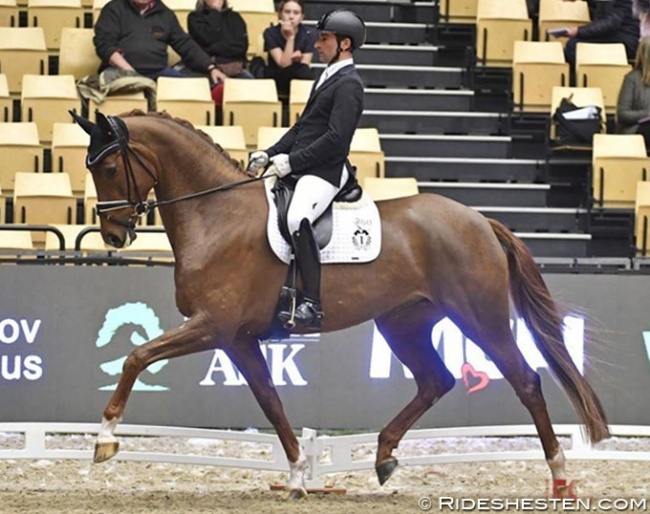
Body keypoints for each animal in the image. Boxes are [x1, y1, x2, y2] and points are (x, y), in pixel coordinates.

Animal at [72, 111, 608, 496]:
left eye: (110, 166)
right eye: (91, 167)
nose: (113, 235)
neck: (215, 214)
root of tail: (480, 220)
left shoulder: (212, 326)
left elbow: (137, 357)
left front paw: (105, 439)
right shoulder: (238, 339)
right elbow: (271, 401)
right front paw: (296, 473)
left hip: (480, 315)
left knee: (525, 379)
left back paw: (561, 478)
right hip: (402, 322)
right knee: (436, 380)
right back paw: (384, 456)